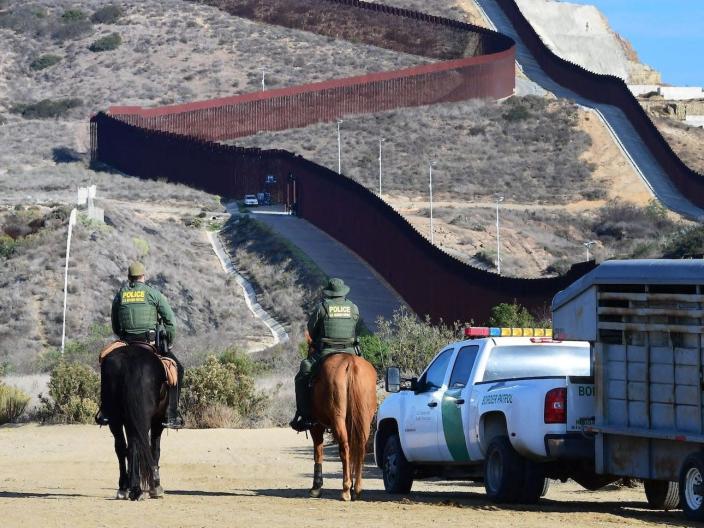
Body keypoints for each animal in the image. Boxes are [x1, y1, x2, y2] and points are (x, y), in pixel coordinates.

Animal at [100, 344, 168, 502]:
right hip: (143, 418)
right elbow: (155, 448)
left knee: (122, 447)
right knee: (138, 444)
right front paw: (156, 486)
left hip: (116, 419)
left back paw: (125, 488)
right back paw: (138, 489)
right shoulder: (157, 421)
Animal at [306, 352, 374, 502]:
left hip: (337, 418)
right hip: (365, 419)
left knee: (345, 448)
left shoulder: (316, 426)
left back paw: (346, 489)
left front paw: (316, 488)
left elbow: (318, 452)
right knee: (360, 447)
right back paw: (357, 489)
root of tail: (350, 362)